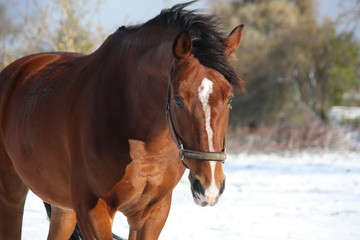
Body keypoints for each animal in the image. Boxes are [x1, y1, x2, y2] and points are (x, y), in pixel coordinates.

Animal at [0, 2, 245, 240]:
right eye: (177, 100)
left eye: (230, 98)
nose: (209, 187)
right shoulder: (92, 210)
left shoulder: (153, 212)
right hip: (11, 198)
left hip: (64, 210)